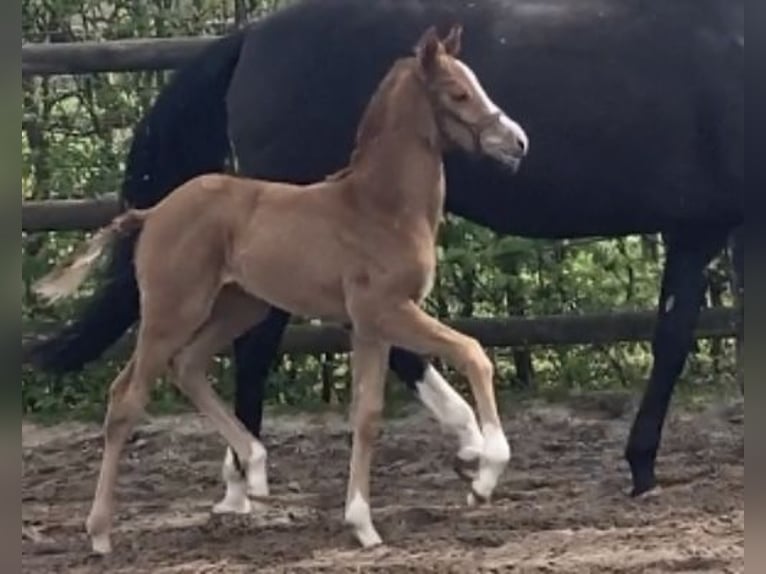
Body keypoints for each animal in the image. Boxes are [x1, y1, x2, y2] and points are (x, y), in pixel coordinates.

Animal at [30, 0, 744, 500]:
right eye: (458, 90)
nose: (516, 141)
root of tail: (253, 37)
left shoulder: (698, 230)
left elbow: (673, 339)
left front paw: (642, 466)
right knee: (269, 343)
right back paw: (249, 478)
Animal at [36, 24, 528, 556]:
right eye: (458, 92)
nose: (517, 142)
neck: (379, 207)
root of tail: (153, 212)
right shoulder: (388, 310)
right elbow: (473, 352)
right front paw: (485, 476)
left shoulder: (370, 326)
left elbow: (367, 415)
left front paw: (363, 524)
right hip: (172, 312)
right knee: (126, 398)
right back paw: (101, 532)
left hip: (239, 307)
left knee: (187, 366)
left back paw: (252, 468)